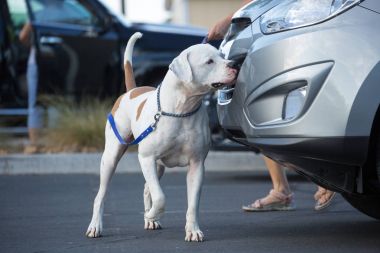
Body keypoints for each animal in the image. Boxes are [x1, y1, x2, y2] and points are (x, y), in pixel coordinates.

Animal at [86, 32, 238, 242]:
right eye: (209, 61)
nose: (234, 64)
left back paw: (150, 220)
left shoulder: (197, 165)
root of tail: (130, 91)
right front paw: (151, 213)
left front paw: (192, 230)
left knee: (146, 187)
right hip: (111, 157)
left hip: (158, 166)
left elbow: (192, 204)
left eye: (223, 56)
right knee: (100, 195)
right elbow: (160, 196)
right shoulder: (146, 158)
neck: (181, 109)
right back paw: (96, 226)